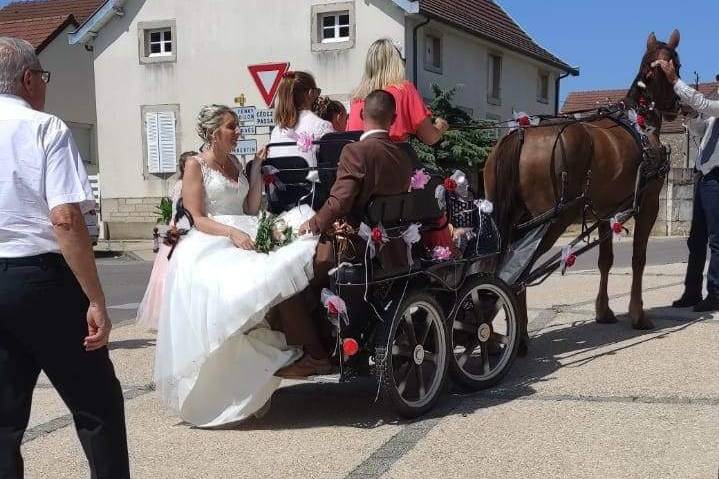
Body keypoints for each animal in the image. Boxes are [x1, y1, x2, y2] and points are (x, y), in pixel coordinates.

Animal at [486, 31, 684, 352]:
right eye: (677, 65)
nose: (678, 104)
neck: (638, 120)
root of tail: (523, 133)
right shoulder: (649, 204)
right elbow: (638, 259)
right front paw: (638, 315)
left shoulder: (604, 212)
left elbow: (606, 261)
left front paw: (603, 311)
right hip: (550, 221)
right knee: (516, 270)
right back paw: (517, 335)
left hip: (509, 217)